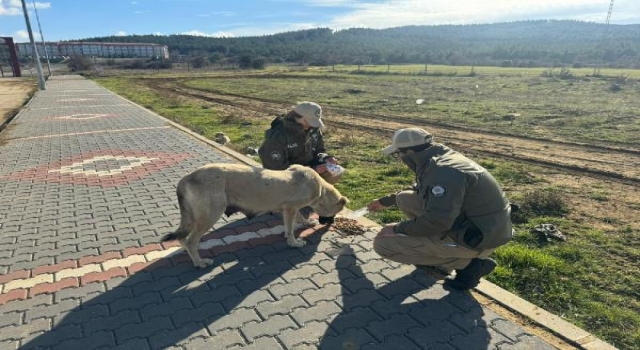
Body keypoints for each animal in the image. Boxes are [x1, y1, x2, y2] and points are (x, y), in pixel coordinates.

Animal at [160, 163, 350, 268]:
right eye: (335, 213)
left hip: (194, 216)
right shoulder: (290, 207)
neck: (320, 188)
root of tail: (186, 178)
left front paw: (306, 223)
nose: (329, 224)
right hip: (210, 215)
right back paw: (199, 263)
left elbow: (298, 218)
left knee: (183, 239)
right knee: (191, 241)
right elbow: (290, 228)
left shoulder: (288, 209)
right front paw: (293, 242)